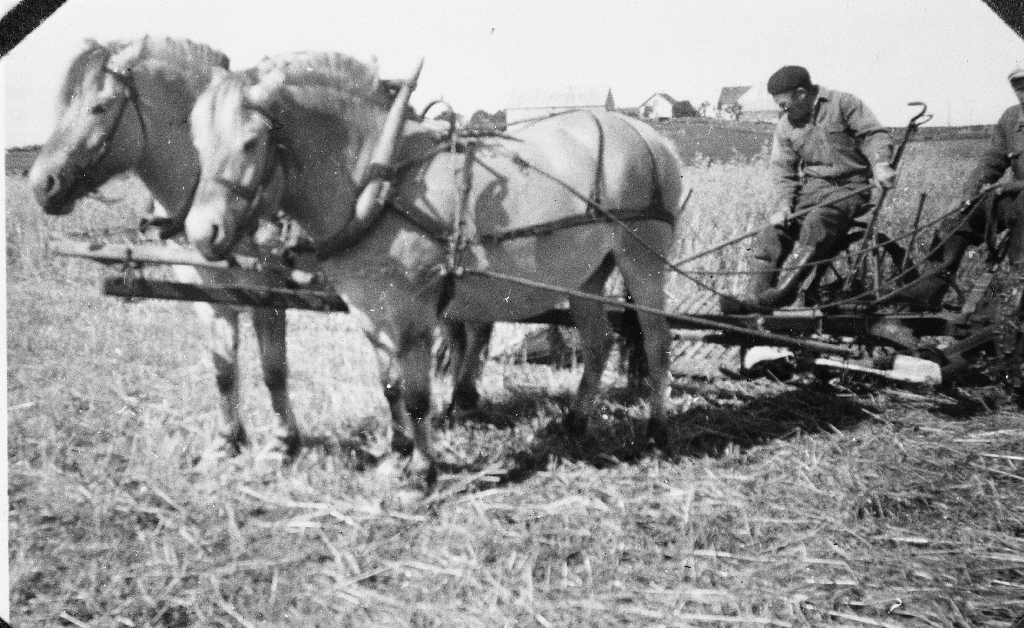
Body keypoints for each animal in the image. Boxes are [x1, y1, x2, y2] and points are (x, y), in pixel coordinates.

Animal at [29, 39, 303, 458]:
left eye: (100, 106)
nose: (41, 184)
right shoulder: (208, 293)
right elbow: (223, 369)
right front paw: (228, 440)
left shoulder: (268, 294)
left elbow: (274, 369)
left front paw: (285, 441)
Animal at [187, 53, 684, 485]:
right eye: (196, 141)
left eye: (251, 141)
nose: (200, 231)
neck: (378, 181)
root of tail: (651, 136)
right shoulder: (369, 307)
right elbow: (390, 386)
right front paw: (397, 455)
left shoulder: (415, 311)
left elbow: (418, 395)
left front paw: (422, 472)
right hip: (587, 276)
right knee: (599, 344)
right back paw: (577, 422)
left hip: (642, 264)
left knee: (658, 343)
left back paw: (657, 432)